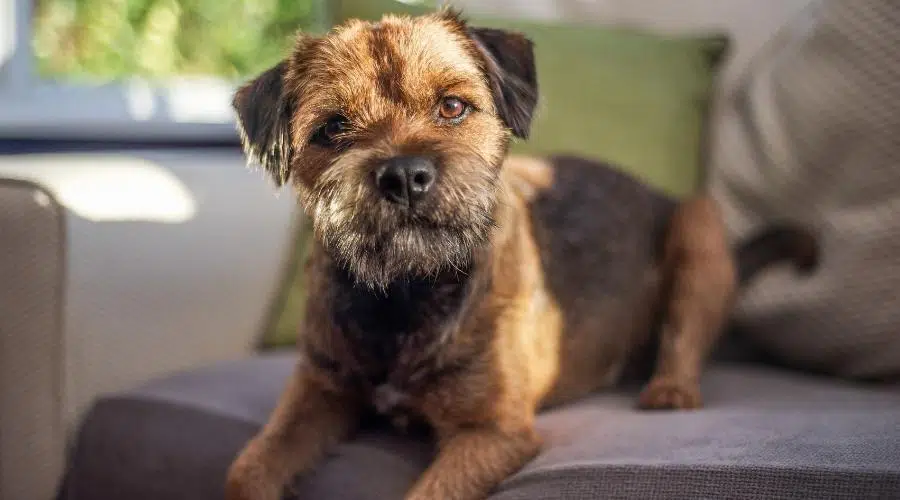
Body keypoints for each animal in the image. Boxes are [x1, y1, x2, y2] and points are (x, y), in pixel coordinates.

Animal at [223, 8, 816, 500]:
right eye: (333, 128)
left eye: (452, 106)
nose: (405, 175)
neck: (405, 294)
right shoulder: (318, 390)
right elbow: (247, 468)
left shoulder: (492, 433)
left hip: (699, 228)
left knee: (684, 338)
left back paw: (668, 389)